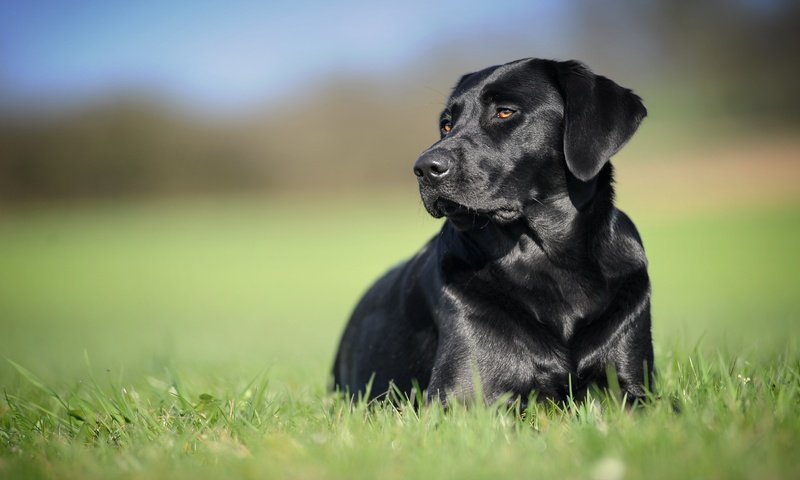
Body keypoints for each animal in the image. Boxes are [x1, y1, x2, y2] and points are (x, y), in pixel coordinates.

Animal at [334, 58, 652, 406]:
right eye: (447, 125)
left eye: (504, 112)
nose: (424, 168)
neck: (549, 260)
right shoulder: (459, 398)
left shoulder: (634, 386)